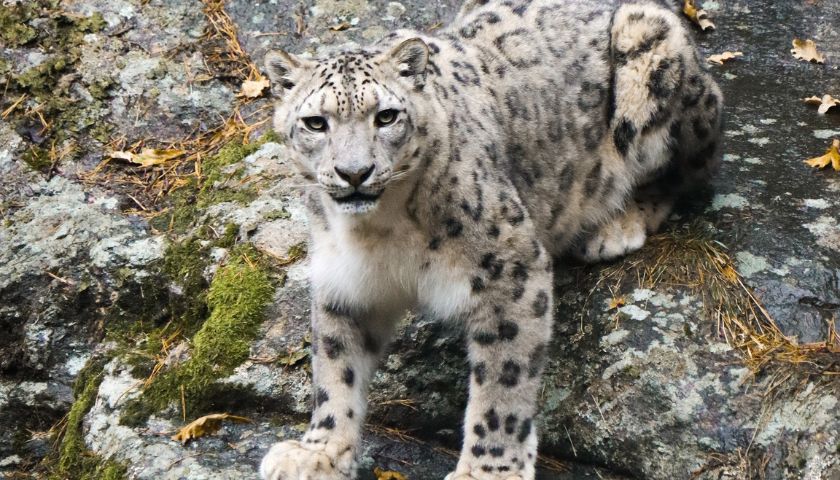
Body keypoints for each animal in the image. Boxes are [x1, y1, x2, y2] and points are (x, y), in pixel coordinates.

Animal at [259, 0, 722, 478]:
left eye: (385, 116)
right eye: (316, 123)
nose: (354, 173)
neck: (378, 230)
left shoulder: (509, 266)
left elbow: (505, 376)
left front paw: (489, 468)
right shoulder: (342, 281)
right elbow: (335, 369)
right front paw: (318, 452)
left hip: (652, 63)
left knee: (689, 171)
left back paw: (616, 225)